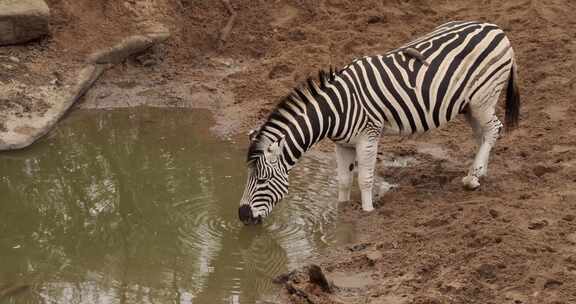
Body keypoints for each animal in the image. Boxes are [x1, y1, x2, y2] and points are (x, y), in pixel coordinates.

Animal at [236, 21, 520, 224]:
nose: (242, 216)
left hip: (484, 97)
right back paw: (478, 172)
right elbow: (343, 179)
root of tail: (495, 28)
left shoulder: (368, 136)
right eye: (248, 178)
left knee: (494, 129)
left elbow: (365, 178)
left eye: (262, 181)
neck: (333, 111)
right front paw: (342, 211)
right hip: (469, 105)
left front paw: (368, 211)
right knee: (483, 134)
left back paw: (472, 179)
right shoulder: (342, 144)